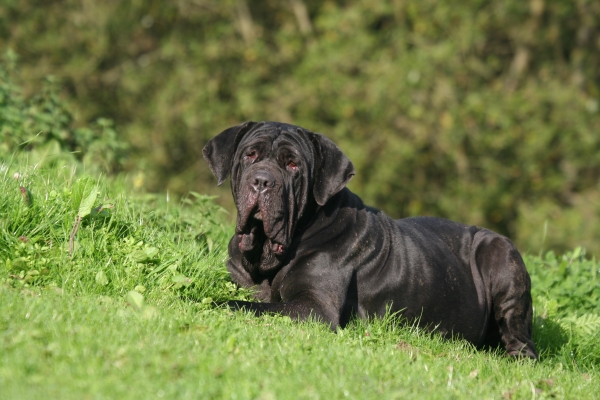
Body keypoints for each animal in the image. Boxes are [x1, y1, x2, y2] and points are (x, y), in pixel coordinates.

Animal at [203, 120, 540, 358]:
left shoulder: (314, 308)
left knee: (522, 340)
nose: (261, 180)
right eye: (250, 155)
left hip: (502, 254)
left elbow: (241, 305)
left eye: (293, 165)